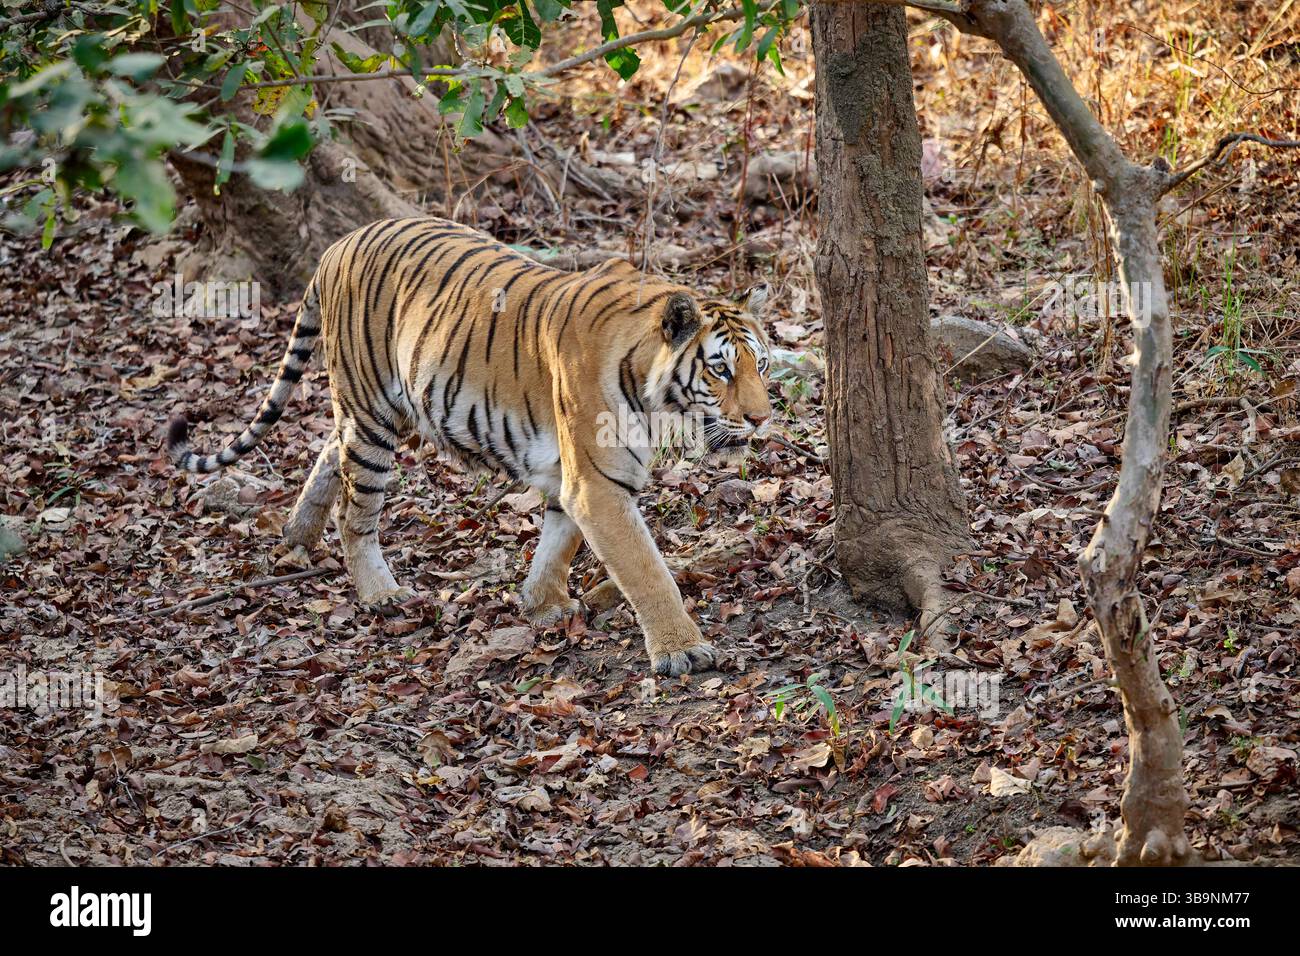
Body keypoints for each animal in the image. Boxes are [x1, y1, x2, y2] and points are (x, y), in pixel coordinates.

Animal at [167, 217, 773, 676]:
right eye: (720, 370)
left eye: (761, 366)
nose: (762, 419)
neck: (652, 388)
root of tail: (336, 246)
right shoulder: (598, 483)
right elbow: (647, 571)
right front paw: (681, 650)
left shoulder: (573, 476)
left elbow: (560, 539)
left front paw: (543, 603)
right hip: (373, 413)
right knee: (354, 509)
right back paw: (379, 592)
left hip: (383, 409)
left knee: (328, 449)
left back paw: (298, 532)